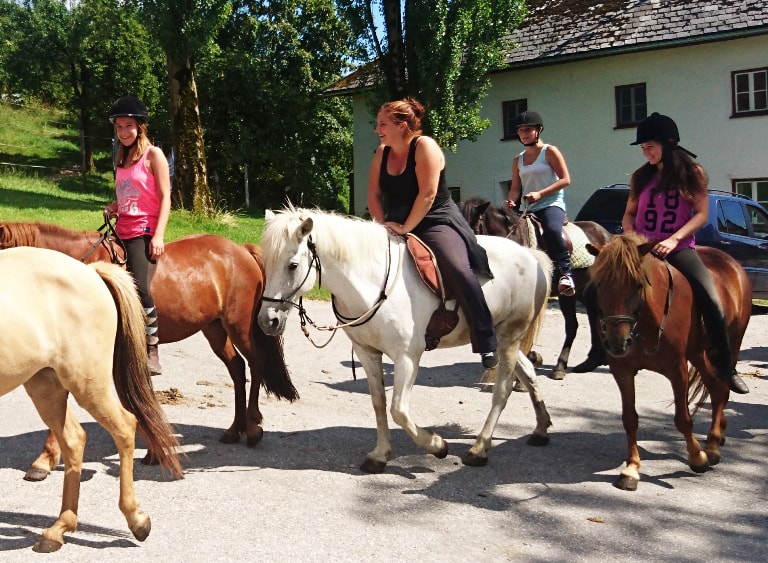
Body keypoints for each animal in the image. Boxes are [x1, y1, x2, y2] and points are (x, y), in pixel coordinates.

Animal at [0, 220, 298, 480]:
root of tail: (241, 249)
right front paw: (45, 460)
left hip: (239, 325)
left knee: (256, 364)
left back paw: (252, 426)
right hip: (214, 328)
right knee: (237, 368)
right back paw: (235, 429)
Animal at [1, 248, 183, 556]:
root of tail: (91, 272)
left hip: (87, 383)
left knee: (125, 427)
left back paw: (136, 520)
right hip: (45, 385)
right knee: (74, 440)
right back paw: (58, 529)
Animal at [258, 207, 552, 472]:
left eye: (293, 265)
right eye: (267, 262)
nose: (266, 321)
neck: (371, 283)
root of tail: (530, 256)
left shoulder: (407, 357)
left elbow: (398, 410)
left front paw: (437, 445)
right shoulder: (367, 353)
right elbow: (379, 403)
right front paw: (380, 454)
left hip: (509, 336)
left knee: (502, 390)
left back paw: (479, 449)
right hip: (503, 338)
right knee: (528, 372)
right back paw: (541, 428)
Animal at [456, 196, 612, 382]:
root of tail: (607, 236)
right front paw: (533, 357)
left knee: (574, 326)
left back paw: (562, 366)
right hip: (583, 293)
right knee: (592, 319)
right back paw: (592, 361)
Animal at [588, 231, 752, 492]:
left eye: (637, 284)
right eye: (601, 284)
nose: (617, 342)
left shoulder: (678, 369)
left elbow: (682, 419)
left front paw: (698, 458)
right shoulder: (622, 370)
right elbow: (629, 418)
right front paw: (631, 469)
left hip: (731, 344)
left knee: (723, 387)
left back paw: (712, 447)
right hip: (698, 352)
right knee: (716, 387)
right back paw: (716, 440)